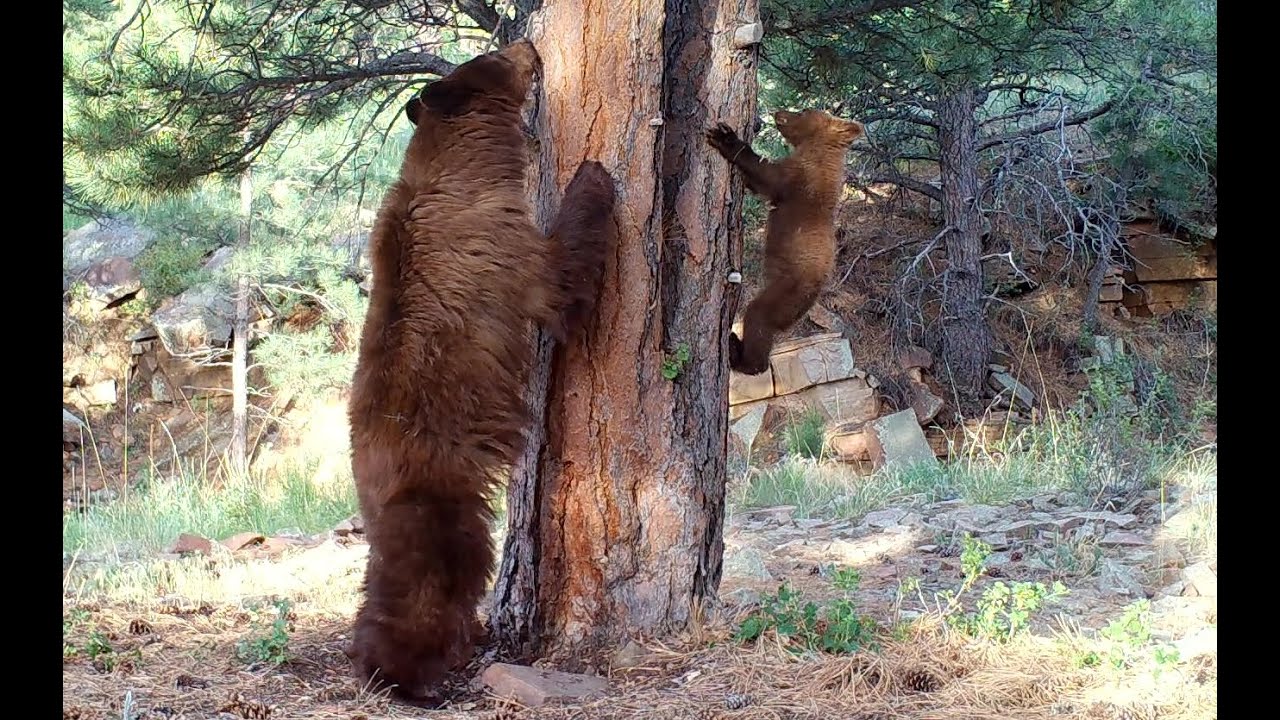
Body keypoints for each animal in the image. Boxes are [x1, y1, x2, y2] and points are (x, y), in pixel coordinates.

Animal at [345, 38, 617, 704]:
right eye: (495, 57)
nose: (527, 42)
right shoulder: (500, 240)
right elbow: (560, 279)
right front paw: (593, 175)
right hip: (443, 497)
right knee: (437, 579)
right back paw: (406, 674)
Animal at [705, 109, 864, 374]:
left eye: (803, 111)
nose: (777, 112)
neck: (818, 151)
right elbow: (758, 183)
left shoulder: (801, 178)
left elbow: (767, 176)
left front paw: (725, 137)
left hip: (787, 289)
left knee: (759, 319)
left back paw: (739, 353)